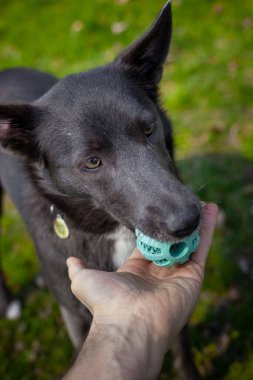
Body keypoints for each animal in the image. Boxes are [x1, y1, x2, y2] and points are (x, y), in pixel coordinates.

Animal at [0, 1, 202, 378]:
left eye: (149, 129)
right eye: (92, 162)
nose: (187, 221)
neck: (112, 232)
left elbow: (183, 353)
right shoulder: (75, 316)